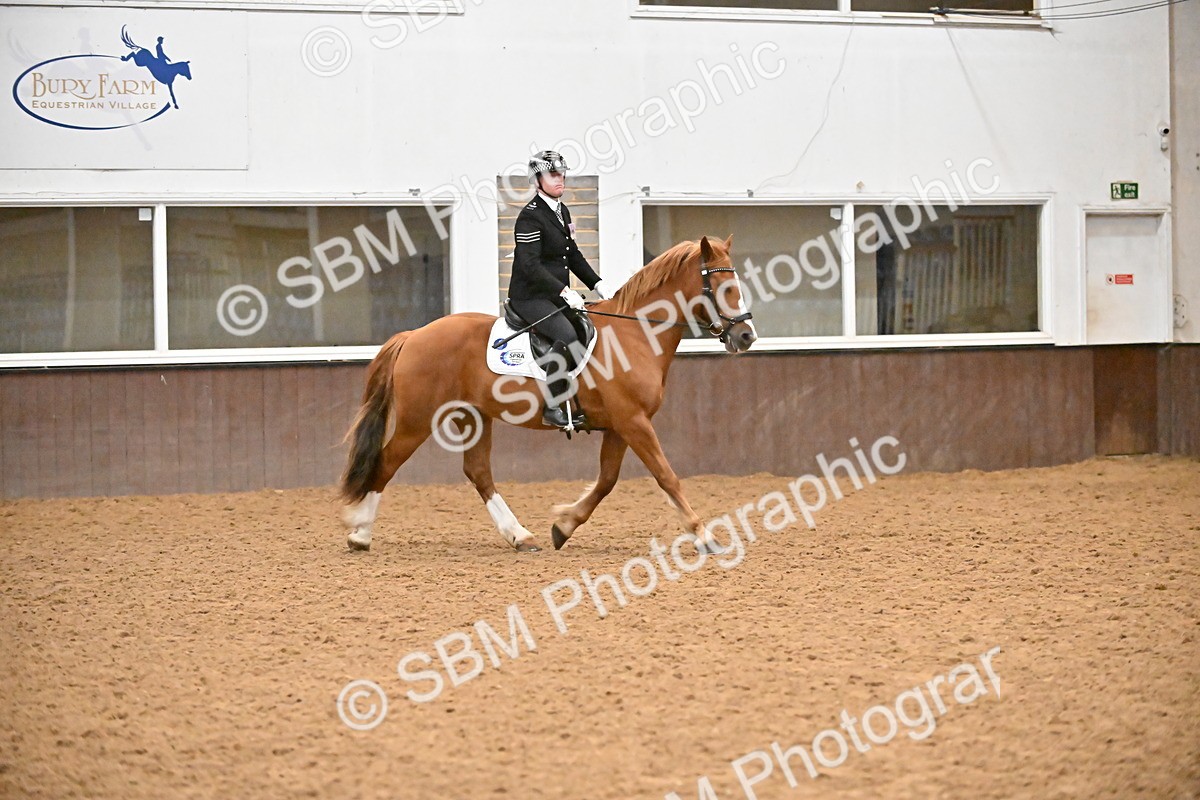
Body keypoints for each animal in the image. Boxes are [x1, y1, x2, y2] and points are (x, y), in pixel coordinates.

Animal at [339, 235, 757, 553]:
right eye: (724, 287)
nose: (746, 336)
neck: (635, 333)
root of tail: (413, 336)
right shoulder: (633, 421)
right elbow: (666, 476)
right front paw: (703, 535)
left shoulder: (620, 426)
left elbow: (607, 481)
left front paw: (564, 526)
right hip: (418, 419)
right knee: (386, 461)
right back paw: (360, 533)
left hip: (473, 416)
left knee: (478, 472)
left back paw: (520, 536)